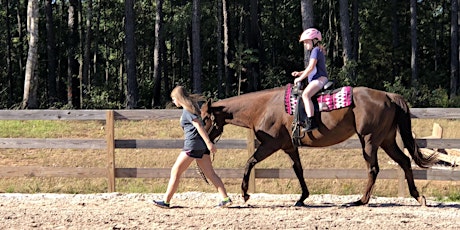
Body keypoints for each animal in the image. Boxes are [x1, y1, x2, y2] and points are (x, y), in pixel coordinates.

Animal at [201, 86, 438, 207]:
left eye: (204, 118)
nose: (204, 142)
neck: (263, 107)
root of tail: (388, 96)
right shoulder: (289, 146)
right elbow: (298, 170)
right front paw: (302, 198)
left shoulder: (271, 144)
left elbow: (250, 162)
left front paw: (245, 194)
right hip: (386, 140)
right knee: (405, 161)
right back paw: (418, 197)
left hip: (370, 141)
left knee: (373, 169)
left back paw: (360, 200)